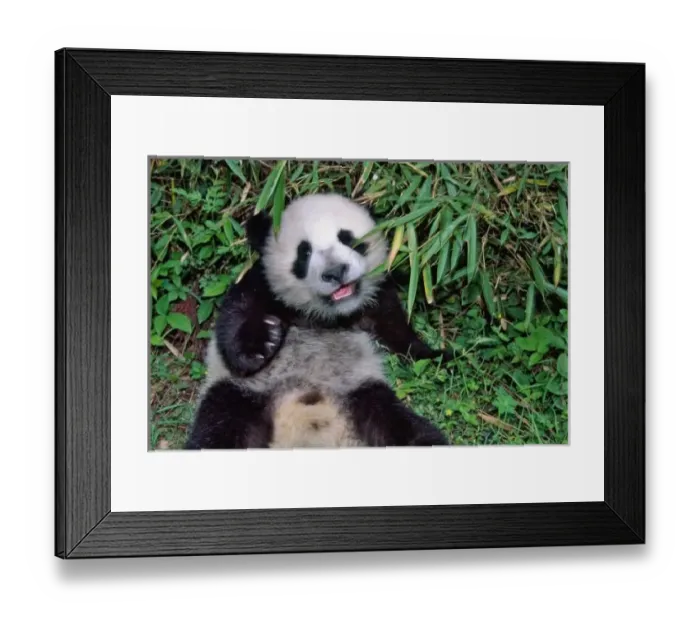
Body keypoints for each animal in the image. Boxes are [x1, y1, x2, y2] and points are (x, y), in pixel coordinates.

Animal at [184, 193, 452, 450]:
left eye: (348, 239)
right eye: (304, 252)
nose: (335, 272)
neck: (325, 315)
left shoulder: (377, 299)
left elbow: (396, 332)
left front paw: (438, 356)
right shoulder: (263, 285)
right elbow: (234, 318)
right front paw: (263, 345)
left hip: (364, 396)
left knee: (411, 431)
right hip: (241, 397)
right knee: (216, 432)